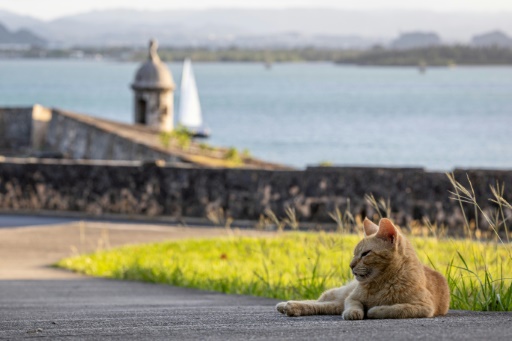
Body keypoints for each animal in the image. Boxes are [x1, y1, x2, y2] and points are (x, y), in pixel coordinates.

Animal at [276, 218, 448, 318]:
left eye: (365, 254)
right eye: (354, 254)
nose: (351, 265)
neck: (381, 283)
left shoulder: (423, 307)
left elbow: (395, 309)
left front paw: (374, 310)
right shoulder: (352, 298)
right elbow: (354, 305)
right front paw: (353, 313)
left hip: (337, 304)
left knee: (324, 305)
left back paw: (290, 307)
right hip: (339, 294)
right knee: (319, 301)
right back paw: (285, 305)